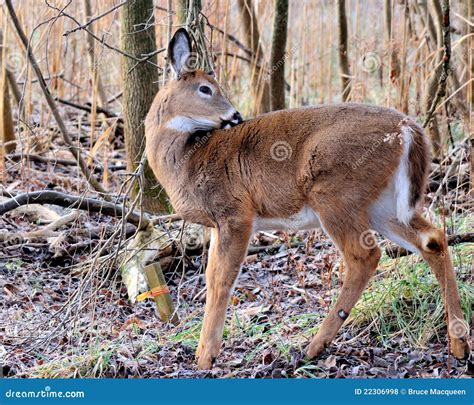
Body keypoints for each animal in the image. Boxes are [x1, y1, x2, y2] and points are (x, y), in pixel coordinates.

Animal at [145, 29, 470, 370]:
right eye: (205, 88)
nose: (236, 115)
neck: (186, 160)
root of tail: (408, 128)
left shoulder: (235, 212)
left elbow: (221, 279)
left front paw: (206, 355)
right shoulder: (217, 223)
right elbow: (210, 278)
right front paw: (202, 350)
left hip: (334, 191)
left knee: (365, 255)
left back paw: (314, 345)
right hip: (382, 203)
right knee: (432, 238)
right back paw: (459, 343)